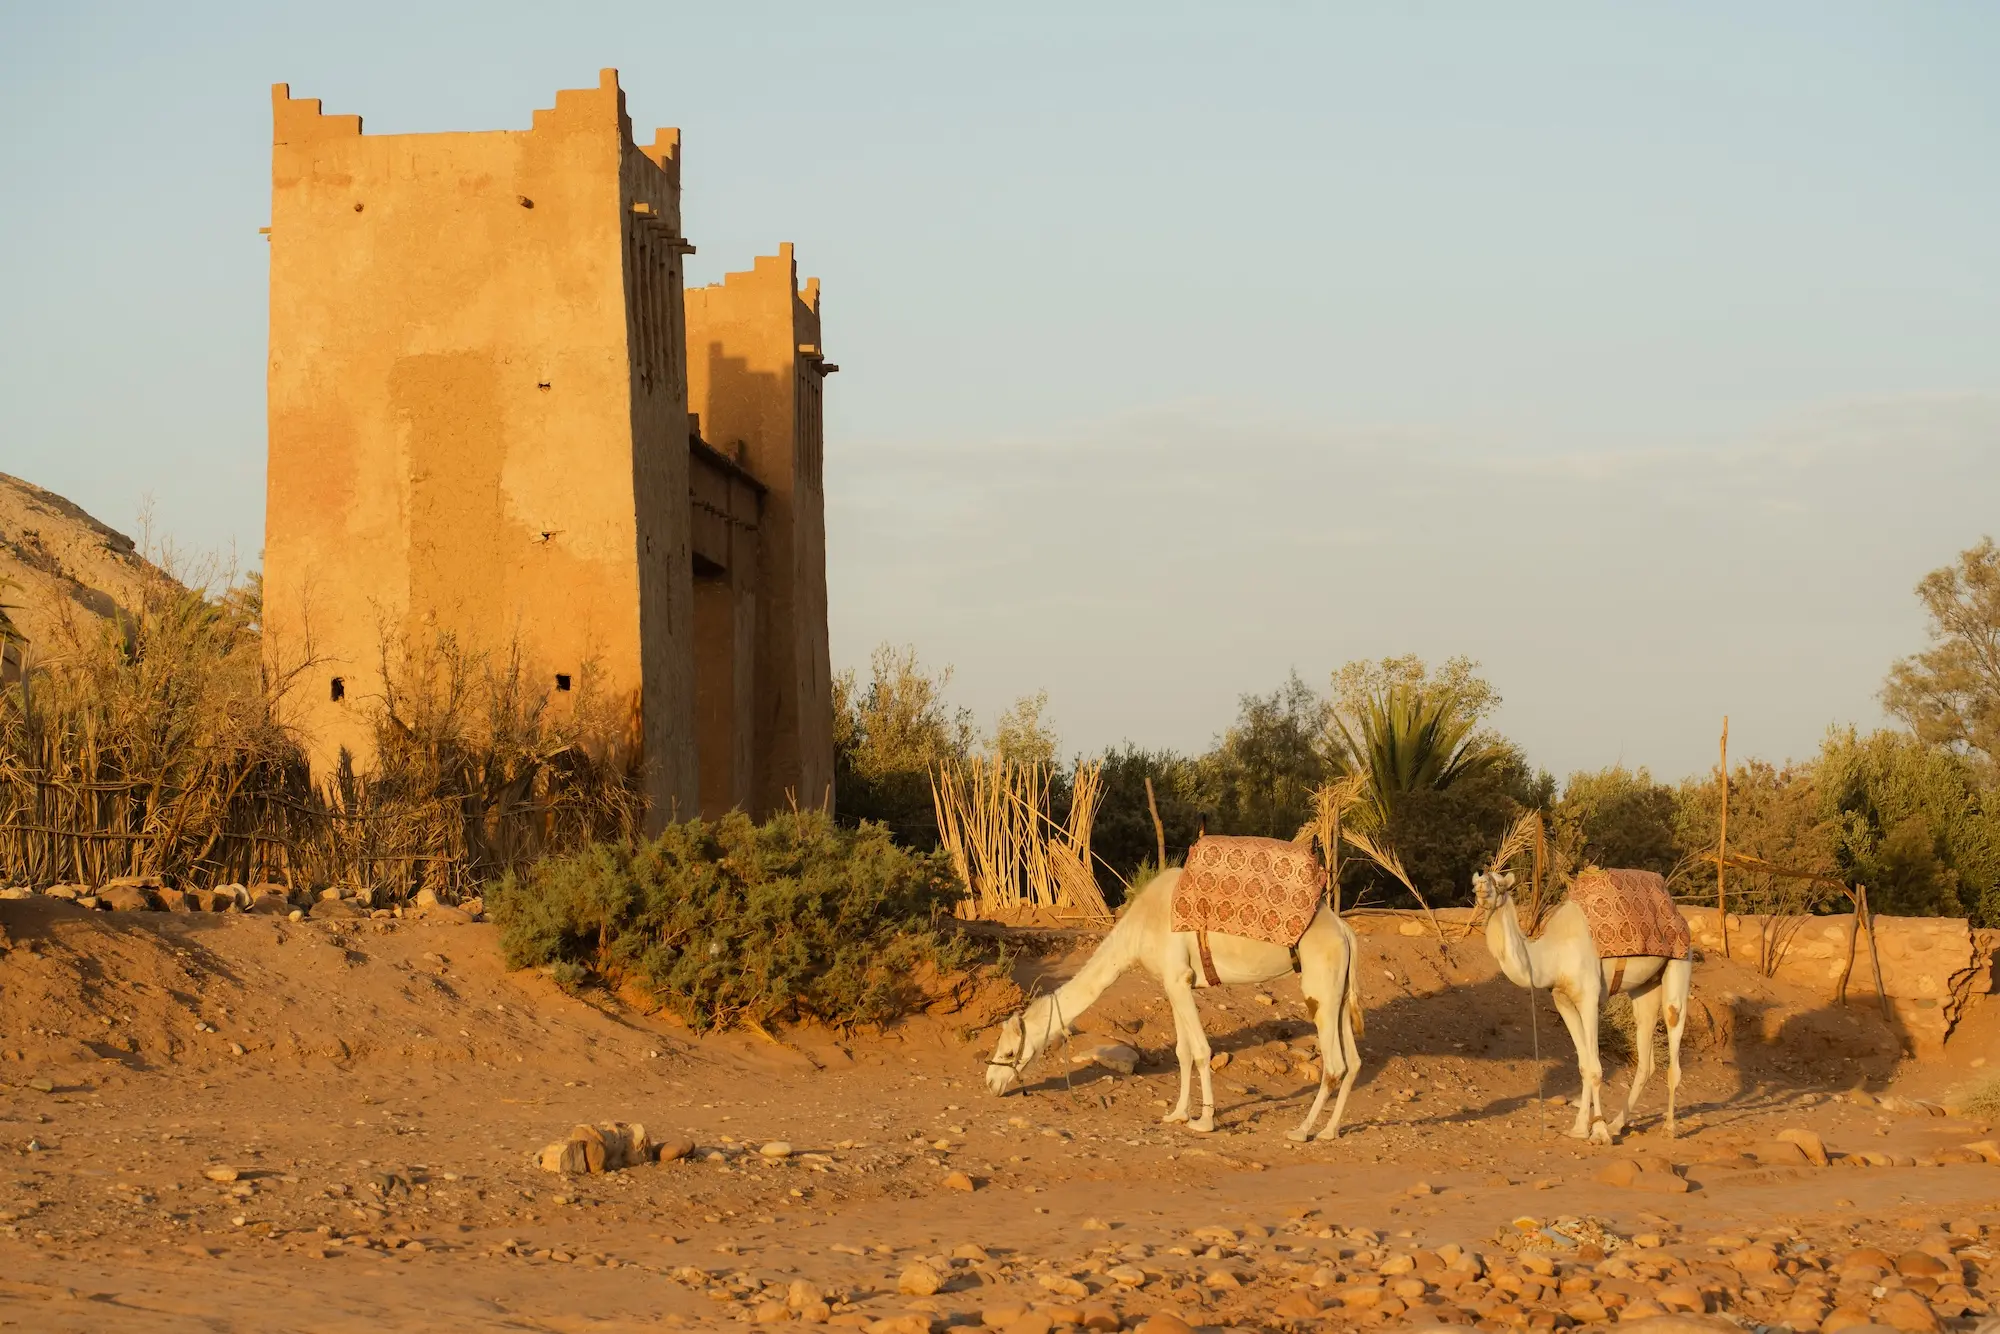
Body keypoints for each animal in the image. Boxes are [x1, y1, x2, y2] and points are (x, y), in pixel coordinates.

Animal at [984, 868, 1364, 1140]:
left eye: (1008, 1052)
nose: (990, 1083)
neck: (1139, 929)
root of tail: (1345, 932)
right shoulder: (1175, 984)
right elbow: (1183, 1052)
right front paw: (1178, 1114)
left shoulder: (1178, 977)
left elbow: (1201, 1051)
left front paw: (1205, 1121)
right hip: (1339, 991)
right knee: (1354, 1061)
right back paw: (1330, 1132)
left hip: (1319, 986)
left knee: (1334, 1063)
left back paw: (1302, 1131)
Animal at [1471, 868, 1693, 1140]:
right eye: (1477, 880)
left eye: (1500, 883)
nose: (1481, 885)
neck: (1551, 957)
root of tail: (1677, 912)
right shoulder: (1563, 1000)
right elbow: (1584, 1066)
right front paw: (1579, 1128)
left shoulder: (1589, 997)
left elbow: (1596, 1068)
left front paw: (1598, 1132)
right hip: (1645, 987)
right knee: (1645, 1059)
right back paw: (1617, 1125)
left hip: (1680, 963)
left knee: (1673, 1030)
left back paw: (1669, 1127)